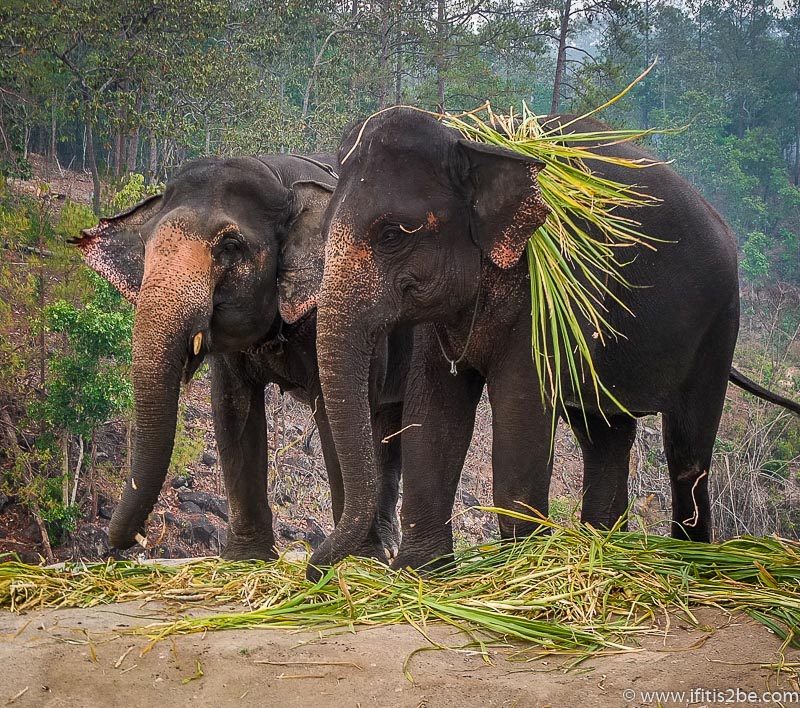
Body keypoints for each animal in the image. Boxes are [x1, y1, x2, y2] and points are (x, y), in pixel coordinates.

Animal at [76, 155, 410, 564]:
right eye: (145, 245)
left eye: (231, 246)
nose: (135, 541)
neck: (281, 180)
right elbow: (233, 412)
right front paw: (245, 558)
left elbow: (336, 413)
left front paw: (353, 560)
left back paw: (382, 551)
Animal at [310, 109, 800, 576]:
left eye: (391, 234)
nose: (318, 573)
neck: (475, 142)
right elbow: (433, 412)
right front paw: (422, 574)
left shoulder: (552, 290)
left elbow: (521, 412)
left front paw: (518, 568)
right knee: (605, 436)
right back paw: (602, 550)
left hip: (718, 326)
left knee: (686, 451)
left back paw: (690, 564)